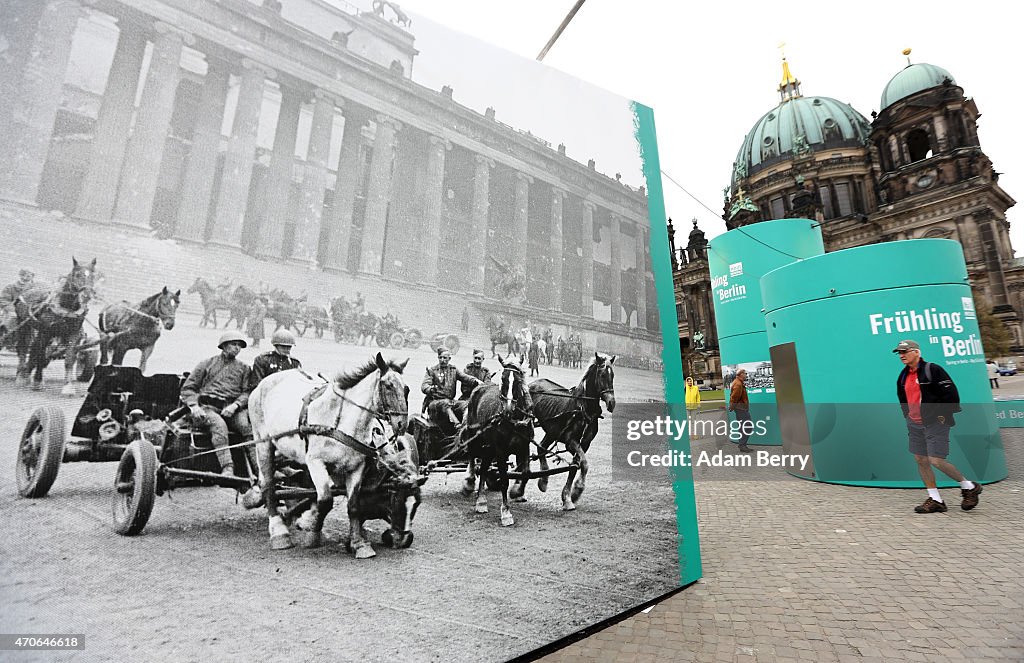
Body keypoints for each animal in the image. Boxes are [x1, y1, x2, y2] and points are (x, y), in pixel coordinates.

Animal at [14, 258, 96, 393]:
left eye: (93, 276)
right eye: (77, 275)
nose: (87, 295)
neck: (66, 307)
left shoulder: (73, 334)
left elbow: (69, 359)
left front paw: (68, 387)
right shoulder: (46, 331)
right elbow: (41, 356)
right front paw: (37, 381)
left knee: (34, 348)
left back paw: (27, 372)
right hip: (24, 325)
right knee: (24, 348)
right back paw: (21, 375)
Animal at [245, 354, 417, 557]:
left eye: (406, 388)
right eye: (388, 385)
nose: (402, 424)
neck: (341, 423)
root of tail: (264, 383)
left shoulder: (355, 468)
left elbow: (353, 505)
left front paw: (359, 543)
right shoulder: (315, 462)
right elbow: (326, 500)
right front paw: (312, 532)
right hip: (263, 443)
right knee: (269, 485)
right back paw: (279, 531)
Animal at [458, 354, 532, 524]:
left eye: (518, 381)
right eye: (503, 379)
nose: (508, 410)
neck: (513, 421)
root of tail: (480, 386)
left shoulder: (524, 446)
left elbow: (526, 473)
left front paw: (517, 491)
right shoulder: (501, 451)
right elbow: (504, 480)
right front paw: (506, 512)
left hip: (489, 447)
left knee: (484, 468)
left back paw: (481, 501)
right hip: (475, 437)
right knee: (473, 458)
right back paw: (469, 482)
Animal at [520, 354, 614, 510]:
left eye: (613, 375)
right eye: (602, 375)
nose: (612, 403)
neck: (583, 409)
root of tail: (532, 384)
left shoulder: (584, 443)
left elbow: (576, 466)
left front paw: (568, 497)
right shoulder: (571, 442)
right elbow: (583, 464)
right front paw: (577, 489)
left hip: (552, 431)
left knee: (541, 447)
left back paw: (543, 480)